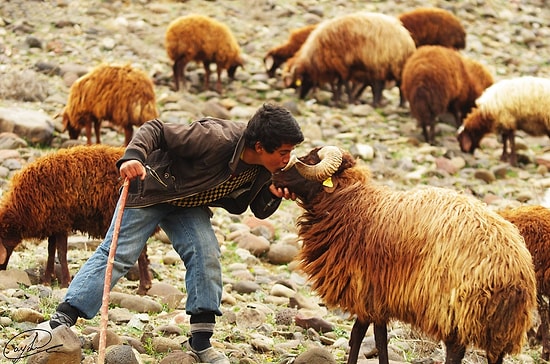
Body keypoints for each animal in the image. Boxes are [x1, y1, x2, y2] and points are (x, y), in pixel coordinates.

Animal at [0, 145, 153, 296]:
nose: (2, 272)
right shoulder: (53, 224)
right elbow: (50, 252)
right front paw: (47, 281)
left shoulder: (62, 221)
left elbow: (61, 253)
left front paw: (65, 282)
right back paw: (145, 286)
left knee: (140, 254)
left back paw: (143, 287)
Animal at [284, 12, 418, 106]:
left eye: (302, 79)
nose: (300, 97)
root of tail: (406, 37)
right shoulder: (337, 66)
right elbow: (338, 84)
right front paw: (338, 99)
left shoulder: (340, 64)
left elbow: (343, 83)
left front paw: (346, 100)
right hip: (388, 65)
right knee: (387, 84)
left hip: (385, 63)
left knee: (387, 84)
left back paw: (388, 104)